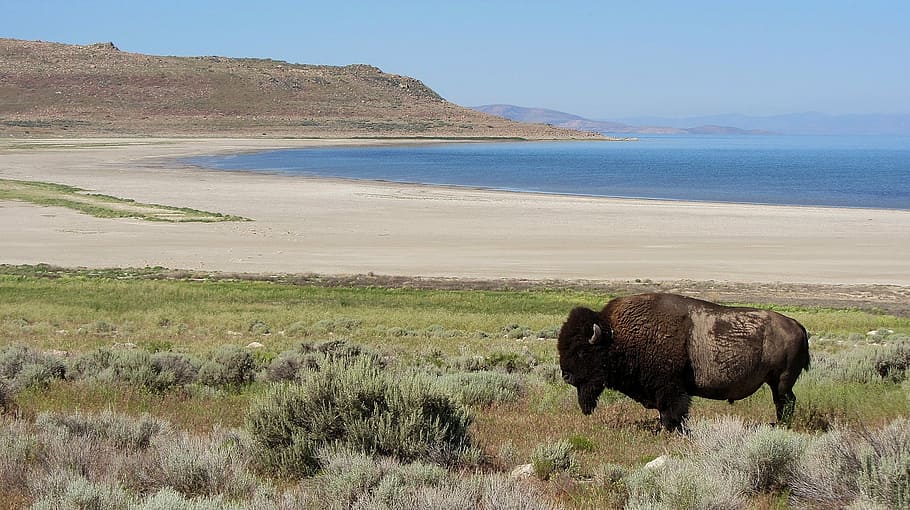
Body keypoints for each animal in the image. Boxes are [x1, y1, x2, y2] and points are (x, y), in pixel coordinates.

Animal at [557, 293, 810, 431]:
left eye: (581, 351)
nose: (566, 376)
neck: (615, 336)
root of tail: (797, 325)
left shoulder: (671, 389)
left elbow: (672, 411)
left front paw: (669, 429)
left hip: (781, 381)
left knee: (785, 402)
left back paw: (781, 425)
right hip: (777, 383)